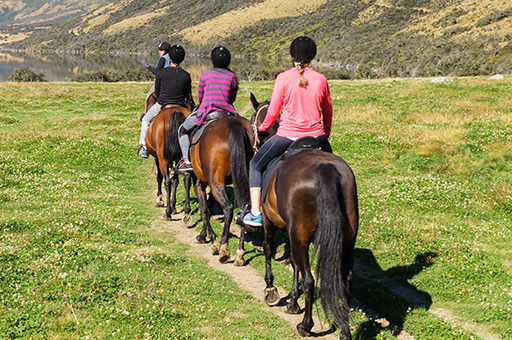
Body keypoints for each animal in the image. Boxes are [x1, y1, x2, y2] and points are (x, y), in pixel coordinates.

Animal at [190, 115, 254, 266]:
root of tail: (234, 124)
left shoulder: (200, 182)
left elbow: (204, 210)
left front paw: (212, 242)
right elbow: (208, 208)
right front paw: (203, 235)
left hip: (215, 184)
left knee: (228, 208)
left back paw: (223, 248)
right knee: (245, 208)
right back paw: (240, 253)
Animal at [250, 95, 358, 340]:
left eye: (252, 120)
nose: (254, 143)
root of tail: (325, 167)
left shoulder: (271, 222)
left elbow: (269, 249)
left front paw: (271, 289)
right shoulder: (296, 234)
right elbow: (294, 262)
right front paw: (292, 300)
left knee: (310, 280)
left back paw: (306, 325)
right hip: (346, 237)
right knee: (345, 282)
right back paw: (344, 331)